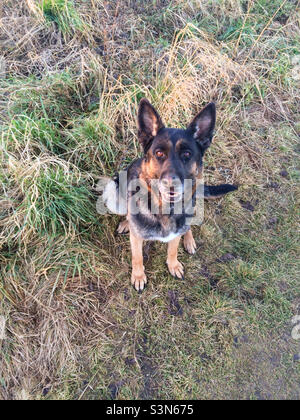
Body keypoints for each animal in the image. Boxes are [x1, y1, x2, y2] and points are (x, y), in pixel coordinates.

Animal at [104, 99, 238, 290]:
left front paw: (173, 265)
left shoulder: (175, 234)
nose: (171, 184)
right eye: (159, 153)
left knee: (187, 226)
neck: (164, 210)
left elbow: (173, 250)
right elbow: (137, 257)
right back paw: (126, 223)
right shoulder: (136, 240)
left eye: (187, 154)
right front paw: (138, 276)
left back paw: (188, 239)